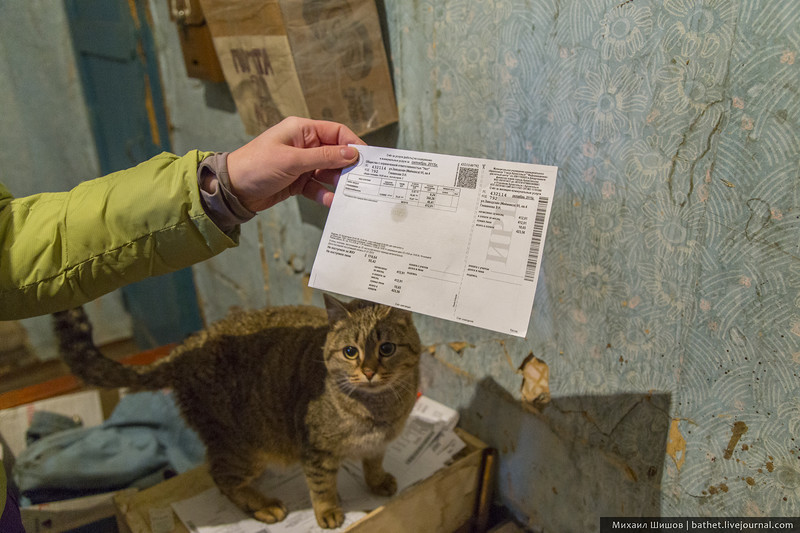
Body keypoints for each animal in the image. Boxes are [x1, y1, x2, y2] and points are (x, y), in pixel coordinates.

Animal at [53, 296, 422, 528]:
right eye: (350, 351)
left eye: (387, 348)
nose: (369, 371)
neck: (377, 410)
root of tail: (182, 351)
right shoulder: (315, 451)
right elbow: (322, 487)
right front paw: (329, 512)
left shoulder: (378, 443)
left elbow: (373, 463)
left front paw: (377, 481)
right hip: (242, 448)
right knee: (221, 477)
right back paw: (263, 505)